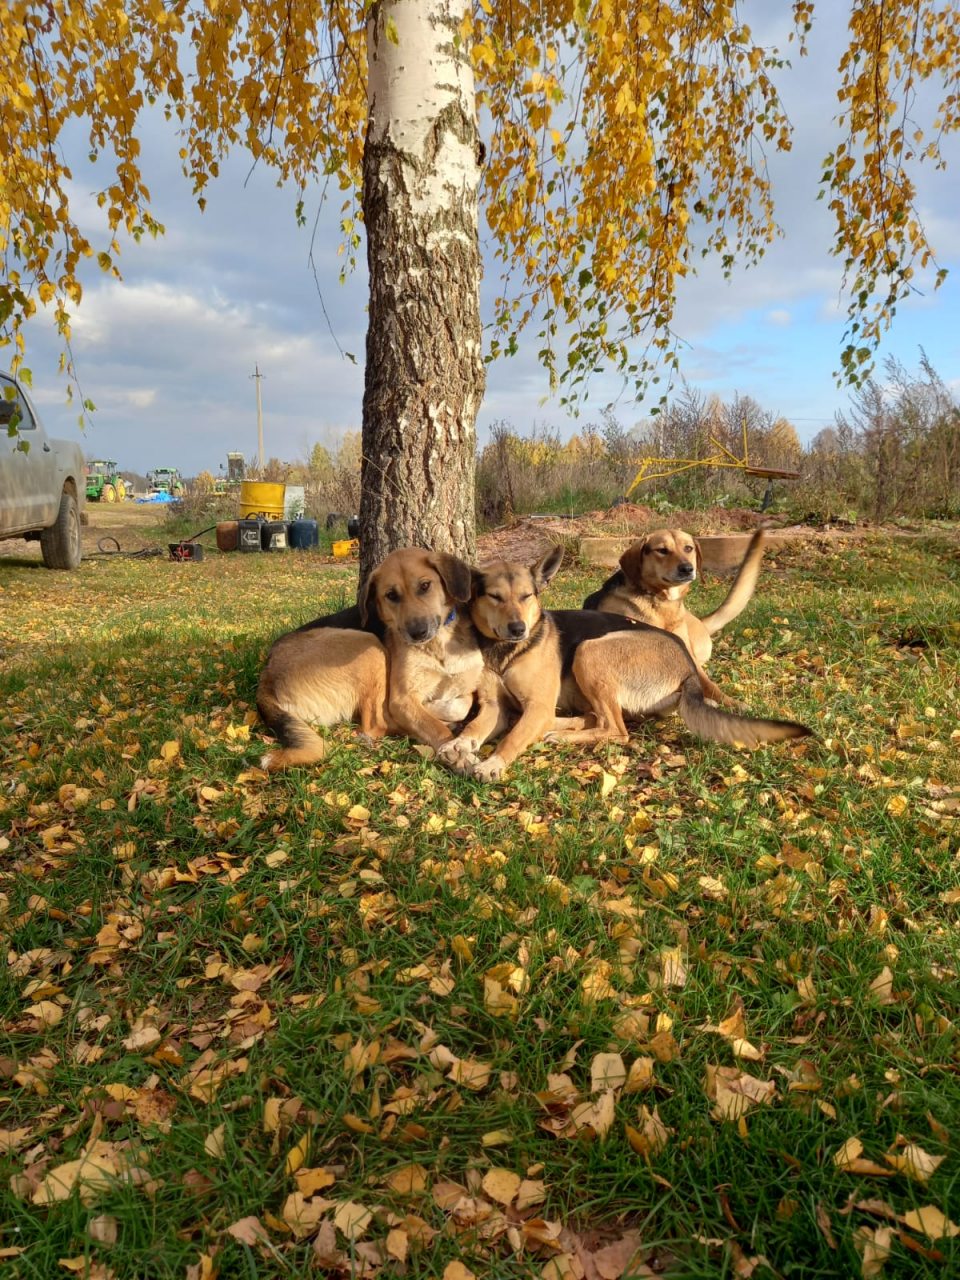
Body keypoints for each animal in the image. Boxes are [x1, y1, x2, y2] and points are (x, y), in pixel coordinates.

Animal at [448, 542, 814, 778]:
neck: (505, 651)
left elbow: (512, 736)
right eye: (494, 597)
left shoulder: (537, 706)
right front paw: (459, 743)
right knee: (597, 719)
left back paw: (562, 734)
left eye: (527, 596)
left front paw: (492, 763)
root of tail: (688, 667)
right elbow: (476, 726)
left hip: (589, 651)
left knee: (616, 729)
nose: (518, 629)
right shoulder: (495, 707)